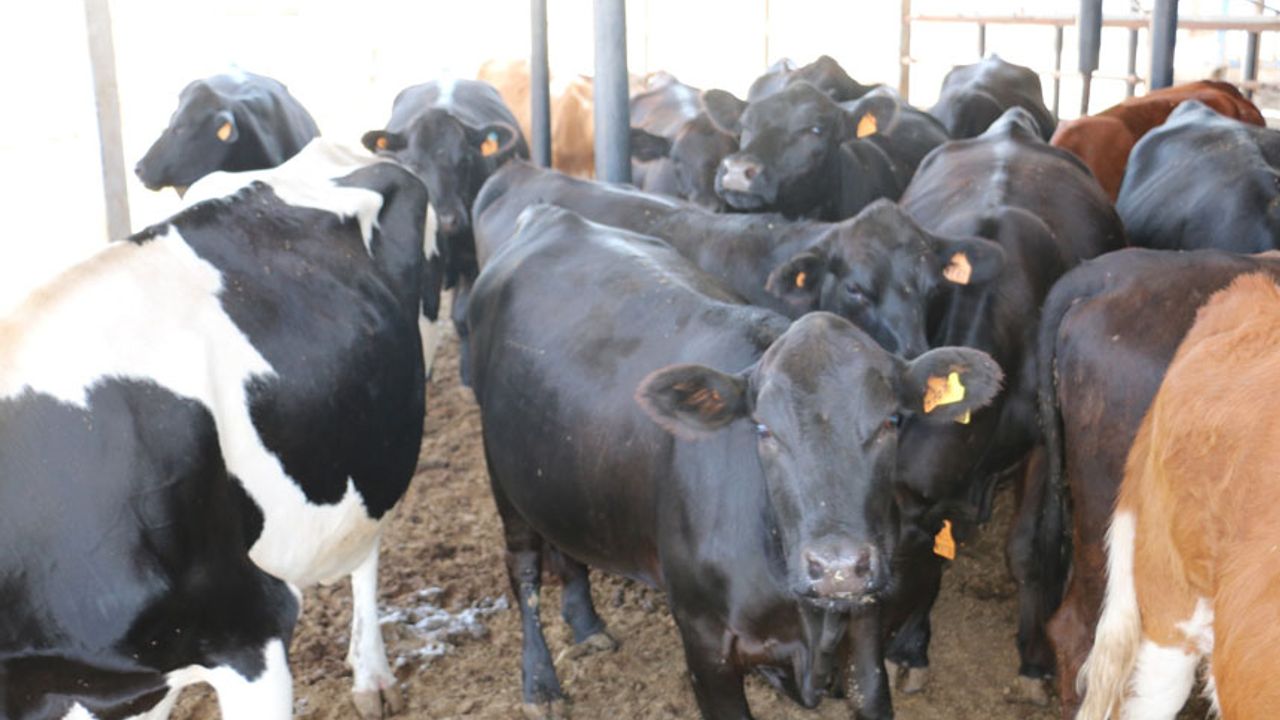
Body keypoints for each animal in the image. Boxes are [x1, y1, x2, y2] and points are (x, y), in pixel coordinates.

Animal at [467, 203, 1003, 719]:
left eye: (891, 421)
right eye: (764, 429)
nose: (837, 568)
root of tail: (549, 216)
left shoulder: (866, 633)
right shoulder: (705, 643)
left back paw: (585, 623)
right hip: (503, 477)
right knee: (524, 568)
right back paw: (540, 683)